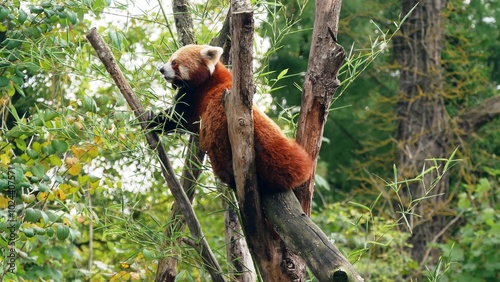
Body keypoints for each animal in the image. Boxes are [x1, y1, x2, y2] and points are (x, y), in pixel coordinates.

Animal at [154, 45, 314, 193]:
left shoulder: (194, 98)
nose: (161, 69)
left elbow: (178, 118)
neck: (209, 79)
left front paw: (153, 120)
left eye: (174, 62)